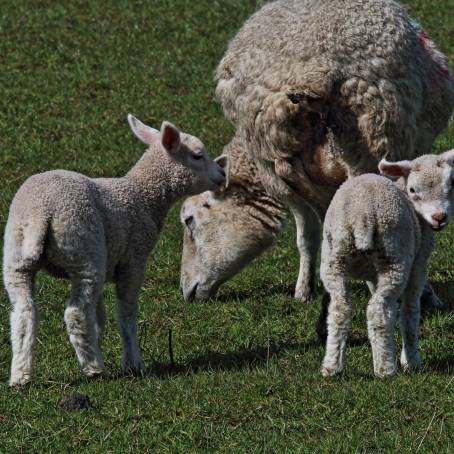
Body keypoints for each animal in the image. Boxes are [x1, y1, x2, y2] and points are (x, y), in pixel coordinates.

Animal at [3, 114, 229, 386]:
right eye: (197, 155)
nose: (222, 174)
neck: (143, 195)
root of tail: (41, 213)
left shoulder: (106, 261)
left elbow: (99, 316)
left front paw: (97, 345)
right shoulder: (133, 260)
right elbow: (127, 313)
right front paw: (132, 363)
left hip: (18, 258)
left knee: (24, 313)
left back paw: (21, 376)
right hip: (84, 252)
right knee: (76, 313)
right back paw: (94, 369)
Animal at [179, 0, 452, 306]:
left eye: (189, 220)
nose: (186, 291)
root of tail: (315, 76)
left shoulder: (280, 180)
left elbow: (306, 235)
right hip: (368, 145)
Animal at [320, 151, 454, 378]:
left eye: (451, 185)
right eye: (413, 190)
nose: (439, 217)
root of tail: (362, 216)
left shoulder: (374, 274)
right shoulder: (418, 264)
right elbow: (410, 311)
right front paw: (411, 361)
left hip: (334, 258)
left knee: (340, 308)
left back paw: (332, 366)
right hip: (395, 259)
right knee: (378, 311)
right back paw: (385, 368)